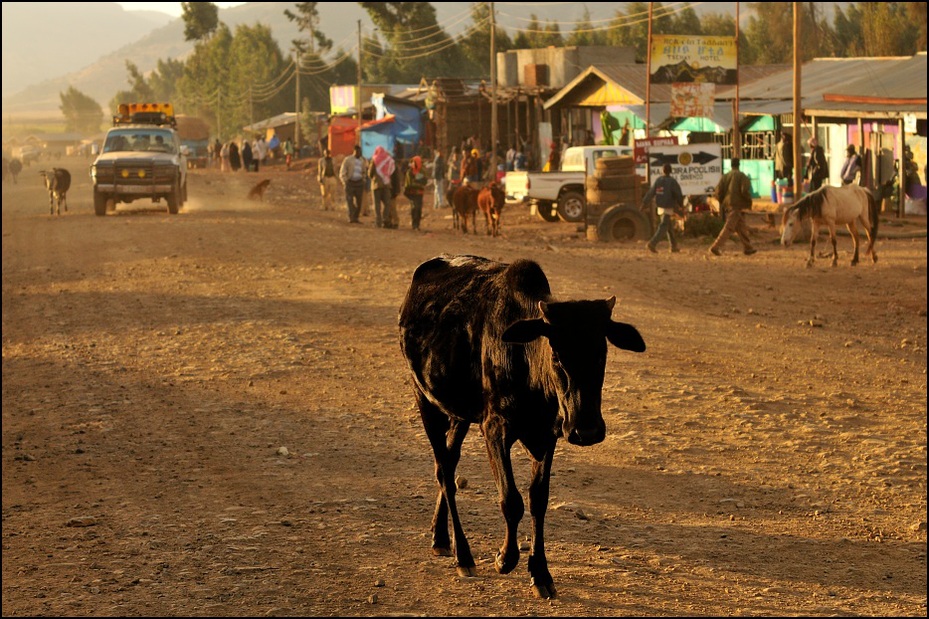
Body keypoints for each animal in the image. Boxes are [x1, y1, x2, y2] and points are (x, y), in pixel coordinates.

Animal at [398, 254, 644, 600]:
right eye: (556, 353)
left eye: (601, 352)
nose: (587, 430)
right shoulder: (494, 429)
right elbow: (511, 500)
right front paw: (505, 558)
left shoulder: (548, 435)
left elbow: (538, 500)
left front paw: (540, 572)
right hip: (425, 400)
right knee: (445, 471)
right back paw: (463, 555)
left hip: (459, 415)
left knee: (447, 462)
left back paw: (440, 537)